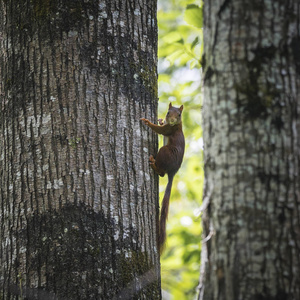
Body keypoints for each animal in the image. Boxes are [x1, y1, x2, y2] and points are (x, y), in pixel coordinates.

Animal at [141, 102, 185, 252]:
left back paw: (153, 164)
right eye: (168, 113)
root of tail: (173, 172)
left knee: (161, 172)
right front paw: (159, 120)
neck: (176, 125)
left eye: (179, 115)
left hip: (164, 152)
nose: (171, 120)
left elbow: (159, 130)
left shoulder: (169, 130)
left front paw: (148, 122)